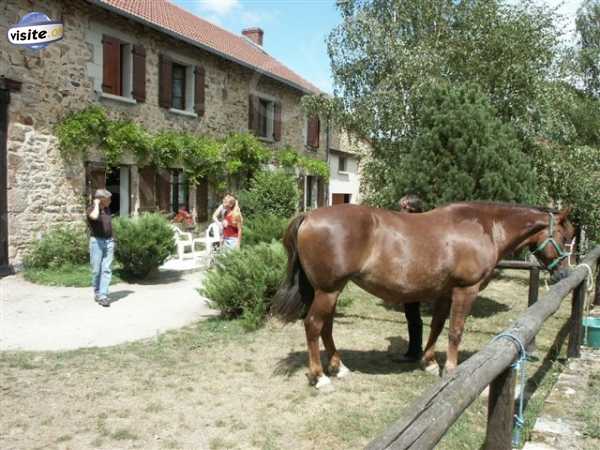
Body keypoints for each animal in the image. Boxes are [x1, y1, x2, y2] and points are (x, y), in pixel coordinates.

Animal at [272, 202, 572, 388]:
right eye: (566, 237)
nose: (565, 274)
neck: (483, 227)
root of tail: (309, 216)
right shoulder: (466, 290)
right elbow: (455, 330)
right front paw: (450, 369)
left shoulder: (445, 292)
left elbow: (437, 326)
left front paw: (428, 362)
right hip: (328, 290)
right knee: (313, 325)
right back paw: (320, 377)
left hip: (332, 290)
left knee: (326, 327)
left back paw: (338, 367)